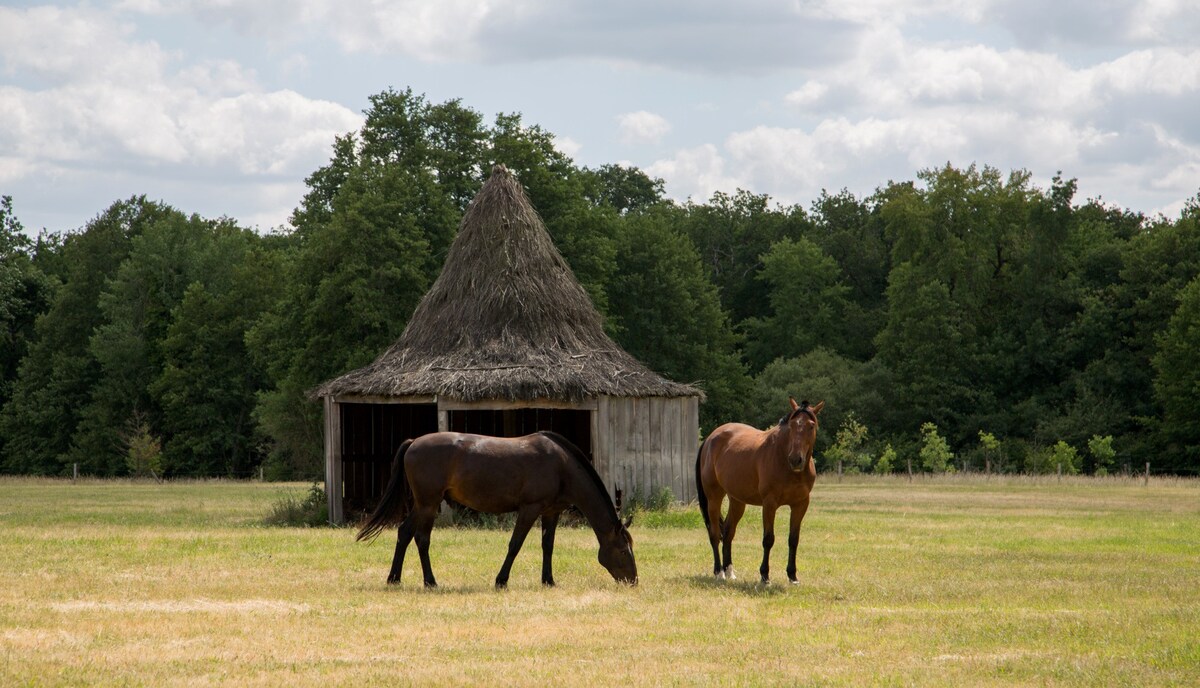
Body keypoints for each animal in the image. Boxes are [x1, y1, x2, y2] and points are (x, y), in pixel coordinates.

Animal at [355, 429, 638, 585]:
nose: (633, 581)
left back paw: (394, 578)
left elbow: (548, 546)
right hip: (428, 503)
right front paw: (501, 580)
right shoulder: (529, 509)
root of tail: (413, 442)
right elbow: (515, 544)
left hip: (423, 504)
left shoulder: (551, 512)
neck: (561, 465)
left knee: (404, 533)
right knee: (421, 539)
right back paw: (430, 582)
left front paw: (548, 580)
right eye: (624, 550)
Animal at [696, 396, 825, 585]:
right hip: (714, 498)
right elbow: (768, 539)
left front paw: (792, 576)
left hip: (737, 501)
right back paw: (719, 572)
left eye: (811, 426)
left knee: (728, 533)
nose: (796, 460)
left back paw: (730, 572)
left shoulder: (800, 505)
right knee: (714, 533)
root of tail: (710, 439)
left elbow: (793, 540)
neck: (782, 458)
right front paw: (765, 576)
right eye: (792, 425)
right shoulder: (769, 504)